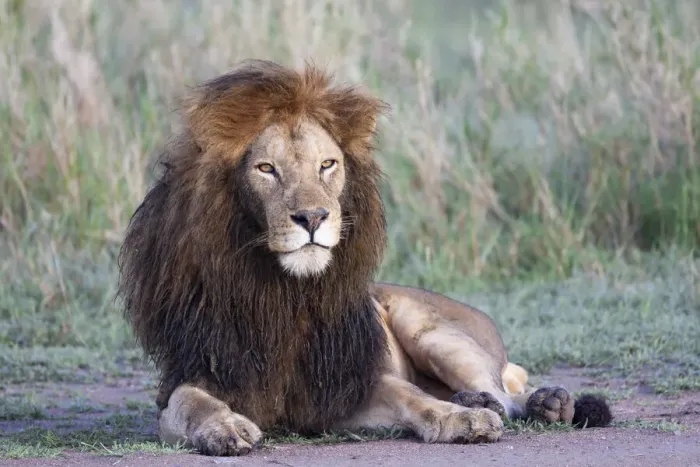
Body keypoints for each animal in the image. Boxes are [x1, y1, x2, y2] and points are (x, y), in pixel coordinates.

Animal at [117, 60, 611, 456]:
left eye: (327, 165)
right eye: (266, 169)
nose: (313, 217)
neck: (284, 295)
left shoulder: (346, 383)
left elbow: (412, 398)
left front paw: (463, 421)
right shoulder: (195, 374)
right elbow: (191, 404)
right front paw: (224, 427)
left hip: (431, 330)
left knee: (508, 395)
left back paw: (543, 404)